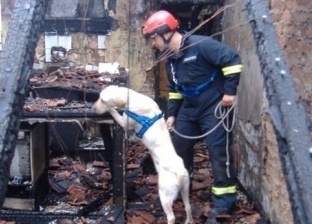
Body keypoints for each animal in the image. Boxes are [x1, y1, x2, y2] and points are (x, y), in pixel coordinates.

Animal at [91, 85, 194, 223]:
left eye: (103, 100)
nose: (93, 108)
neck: (133, 98)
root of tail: (178, 172)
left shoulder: (124, 122)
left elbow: (113, 111)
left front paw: (111, 109)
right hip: (185, 189)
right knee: (188, 207)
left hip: (165, 195)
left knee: (172, 217)